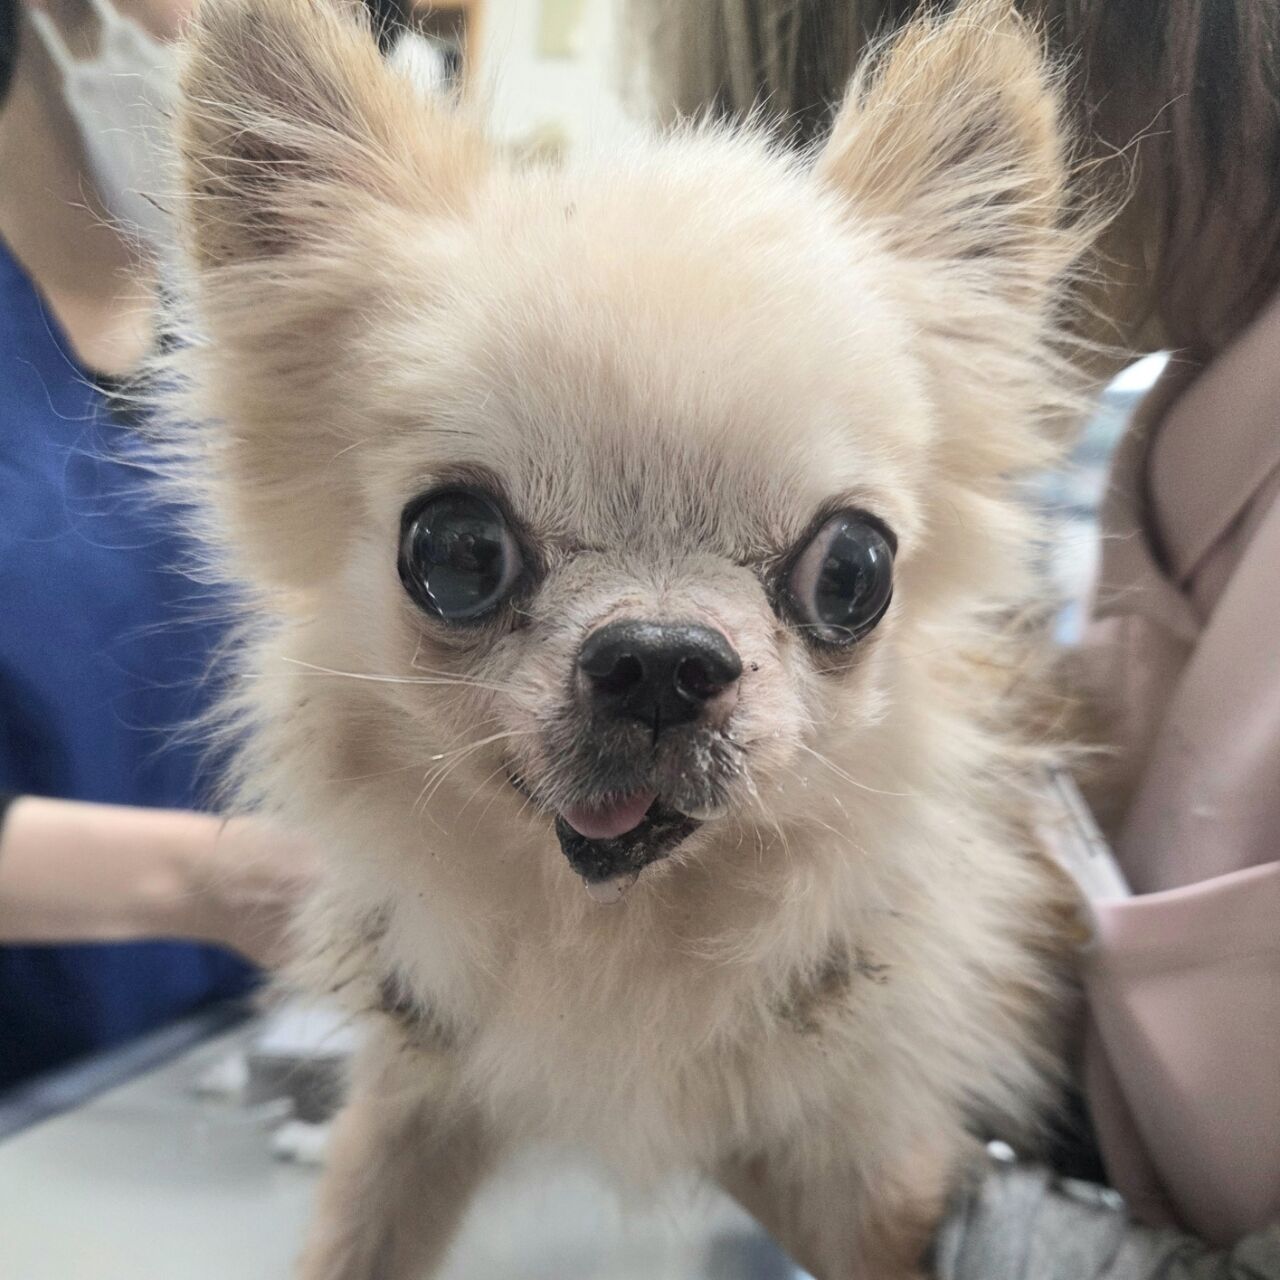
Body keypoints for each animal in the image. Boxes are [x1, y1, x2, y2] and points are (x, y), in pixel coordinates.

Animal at [164, 0, 1091, 1274]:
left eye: (853, 571)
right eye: (457, 551)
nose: (659, 657)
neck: (612, 927)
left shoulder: (871, 1160)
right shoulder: (418, 1091)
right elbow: (359, 1223)